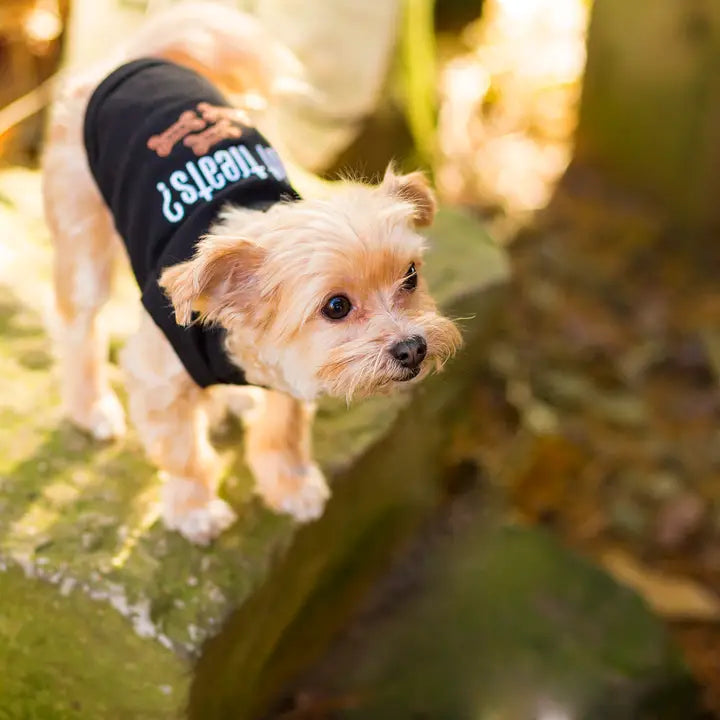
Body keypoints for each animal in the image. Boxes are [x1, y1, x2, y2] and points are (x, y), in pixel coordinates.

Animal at [43, 2, 462, 544]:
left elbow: (282, 429)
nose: (413, 348)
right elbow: (183, 451)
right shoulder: (158, 376)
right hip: (84, 250)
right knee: (76, 328)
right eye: (337, 306)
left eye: (410, 277)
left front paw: (289, 485)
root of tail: (138, 56)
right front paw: (195, 508)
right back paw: (90, 407)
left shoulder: (294, 374)